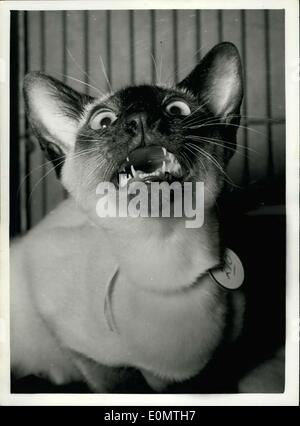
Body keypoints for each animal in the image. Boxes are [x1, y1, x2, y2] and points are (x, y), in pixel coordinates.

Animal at [11, 41, 251, 392]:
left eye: (176, 109)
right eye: (104, 121)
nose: (140, 119)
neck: (165, 266)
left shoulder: (219, 359)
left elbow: (210, 378)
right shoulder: (72, 338)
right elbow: (120, 380)